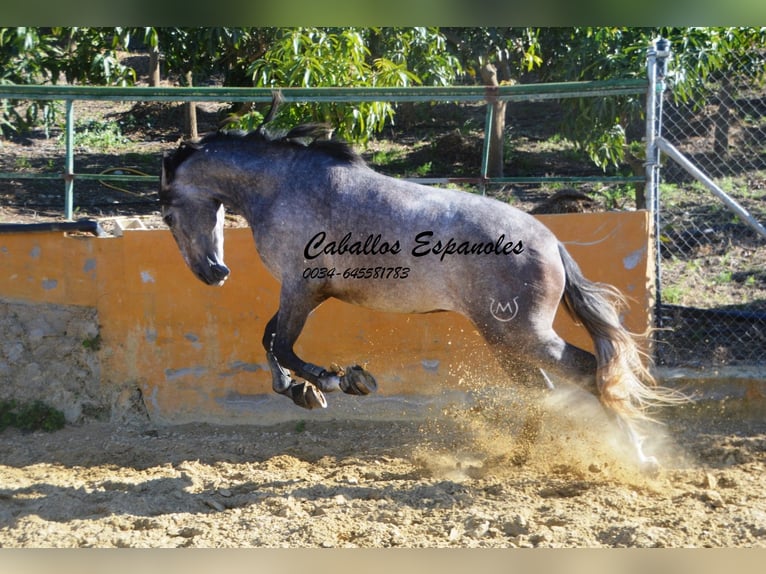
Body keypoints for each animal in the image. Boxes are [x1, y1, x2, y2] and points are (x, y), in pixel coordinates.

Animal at [160, 117, 680, 472]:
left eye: (166, 215)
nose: (212, 273)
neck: (285, 187)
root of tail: (552, 242)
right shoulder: (304, 293)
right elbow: (270, 341)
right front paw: (304, 389)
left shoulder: (302, 289)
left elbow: (280, 343)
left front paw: (335, 382)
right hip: (503, 338)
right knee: (543, 388)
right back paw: (514, 457)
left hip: (522, 334)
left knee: (590, 371)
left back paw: (638, 458)